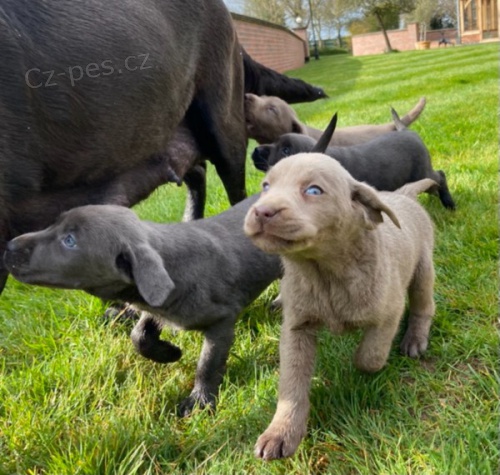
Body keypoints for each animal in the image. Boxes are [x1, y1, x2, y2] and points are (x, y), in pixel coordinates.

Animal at [244, 154, 436, 460]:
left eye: (313, 190)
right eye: (266, 186)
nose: (261, 212)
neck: (323, 274)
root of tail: (402, 195)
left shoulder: (389, 311)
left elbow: (369, 357)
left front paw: (359, 364)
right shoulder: (296, 328)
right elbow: (291, 383)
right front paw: (281, 432)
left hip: (423, 270)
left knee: (424, 306)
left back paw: (415, 339)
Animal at [252, 111, 456, 210]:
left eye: (285, 150)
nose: (254, 151)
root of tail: (408, 131)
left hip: (422, 173)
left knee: (440, 177)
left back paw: (449, 203)